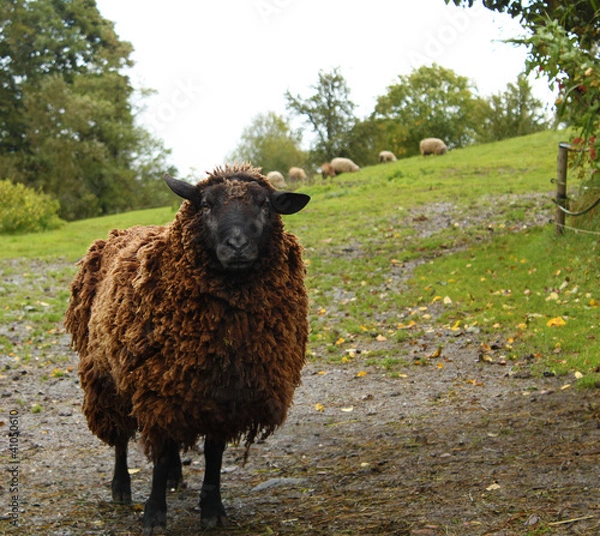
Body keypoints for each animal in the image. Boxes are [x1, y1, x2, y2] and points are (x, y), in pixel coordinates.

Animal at [64, 164, 310, 536]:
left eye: (265, 205)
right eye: (206, 204)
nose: (237, 245)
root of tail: (122, 230)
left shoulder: (223, 394)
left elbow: (213, 453)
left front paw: (212, 510)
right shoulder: (158, 386)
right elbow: (163, 452)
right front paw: (154, 515)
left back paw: (174, 479)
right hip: (106, 373)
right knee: (120, 435)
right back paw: (121, 487)